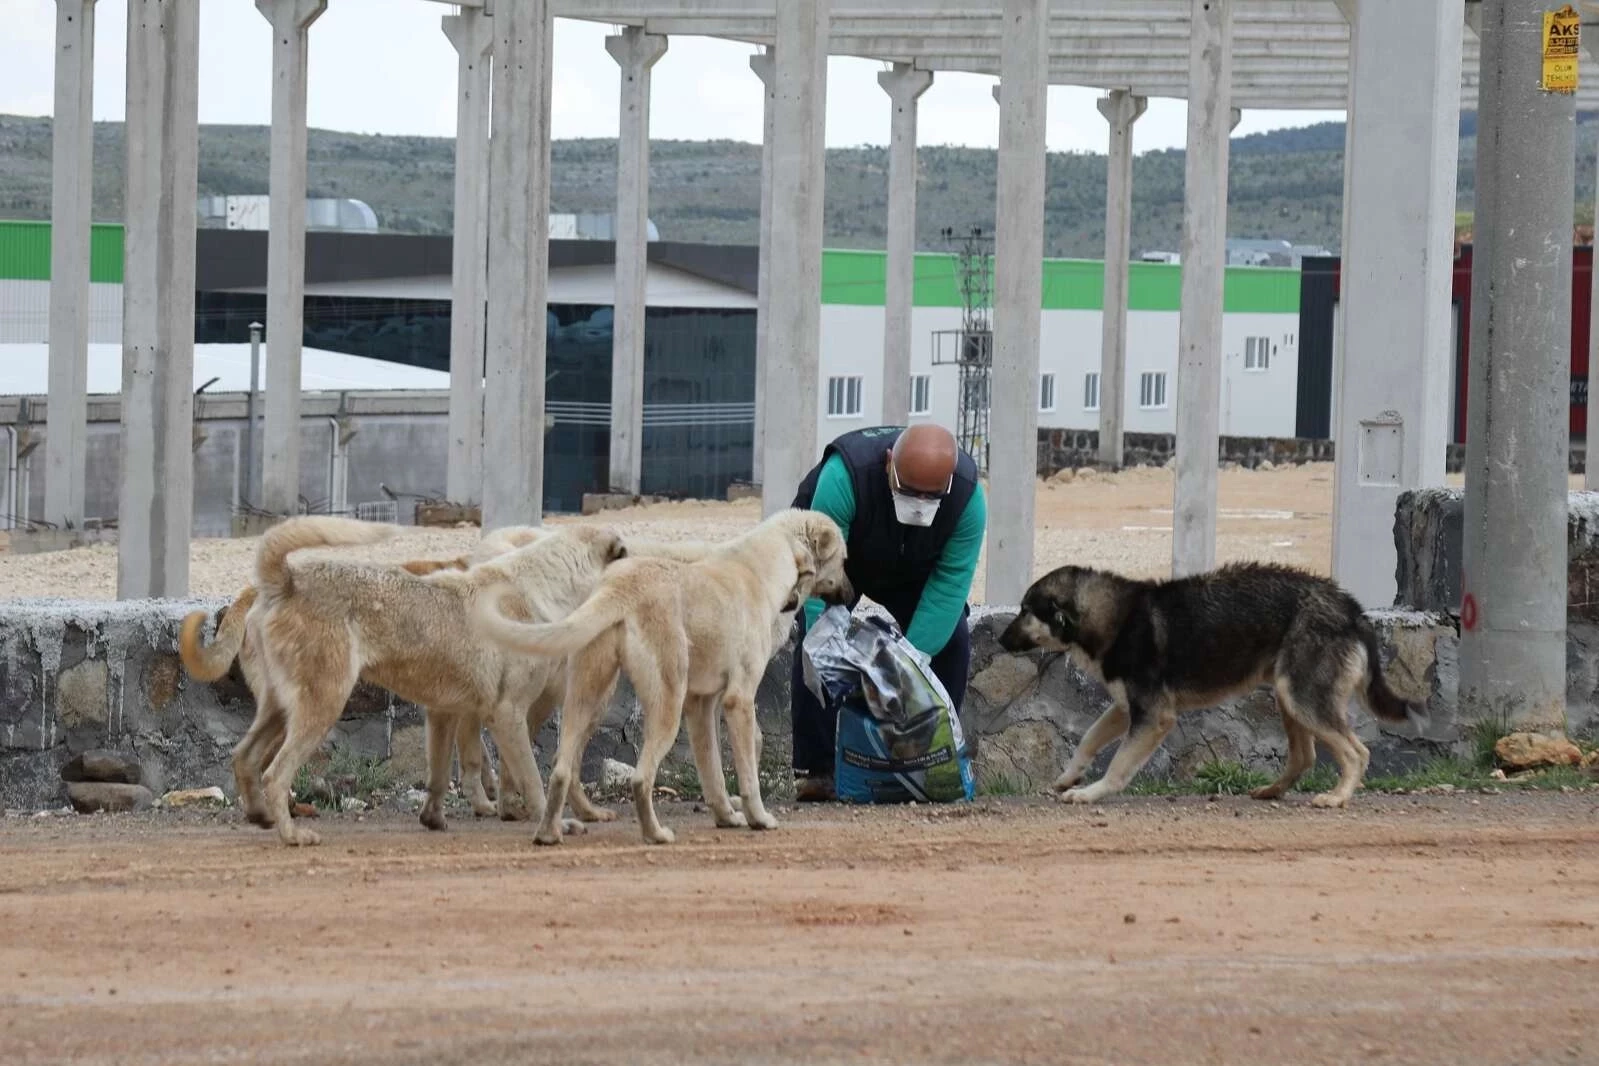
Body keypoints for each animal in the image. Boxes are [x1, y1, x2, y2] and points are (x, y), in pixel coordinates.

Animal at [470, 508, 850, 850]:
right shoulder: (738, 701)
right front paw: (759, 818)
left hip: (587, 696)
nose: (851, 593)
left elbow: (712, 771)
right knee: (640, 777)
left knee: (561, 769)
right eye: (844, 560)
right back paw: (654, 834)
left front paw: (727, 817)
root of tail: (621, 586)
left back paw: (549, 832)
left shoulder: (700, 707)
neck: (758, 566)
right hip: (665, 705)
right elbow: (748, 771)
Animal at [997, 559, 1426, 808]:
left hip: (1302, 699)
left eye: (1024, 611)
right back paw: (1271, 792)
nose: (1000, 641)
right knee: (1304, 757)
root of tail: (1352, 609)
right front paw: (1069, 777)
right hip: (1288, 698)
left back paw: (1337, 797)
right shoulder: (1124, 709)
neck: (1113, 617)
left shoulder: (1153, 717)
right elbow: (1087, 740)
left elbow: (1118, 764)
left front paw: (1090, 793)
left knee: (1357, 752)